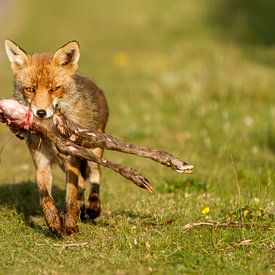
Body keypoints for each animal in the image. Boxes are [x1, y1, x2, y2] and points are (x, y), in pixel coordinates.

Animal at [4, 40, 109, 236]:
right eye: (30, 89)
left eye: (54, 89)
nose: (41, 113)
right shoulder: (42, 163)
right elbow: (46, 197)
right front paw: (54, 223)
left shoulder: (71, 161)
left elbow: (70, 197)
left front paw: (70, 225)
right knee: (82, 184)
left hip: (93, 150)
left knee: (95, 174)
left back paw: (93, 206)